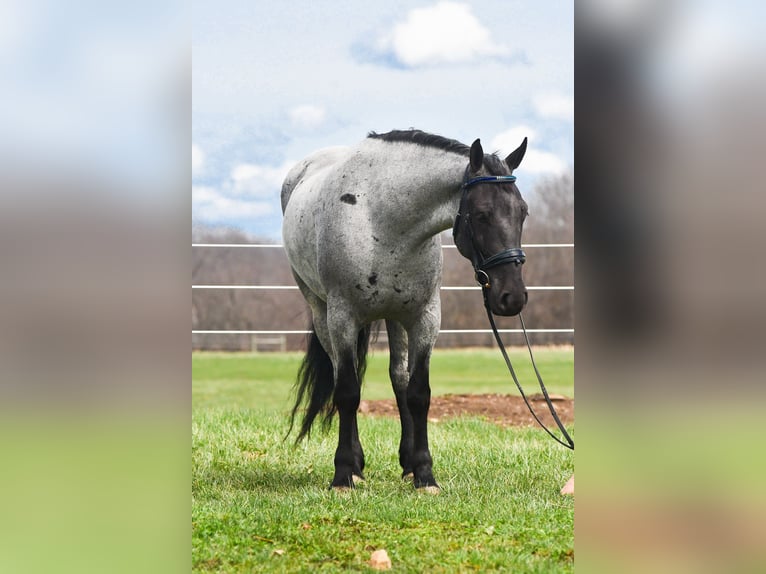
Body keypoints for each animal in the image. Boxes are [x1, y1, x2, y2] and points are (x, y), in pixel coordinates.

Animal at [281, 129, 529, 491]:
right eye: (482, 213)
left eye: (523, 212)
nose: (512, 296)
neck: (381, 219)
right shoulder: (343, 318)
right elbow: (347, 392)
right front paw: (343, 474)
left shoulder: (424, 318)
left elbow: (418, 392)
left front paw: (424, 473)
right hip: (321, 311)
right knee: (342, 374)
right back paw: (356, 463)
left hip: (395, 317)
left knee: (399, 378)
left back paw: (407, 462)